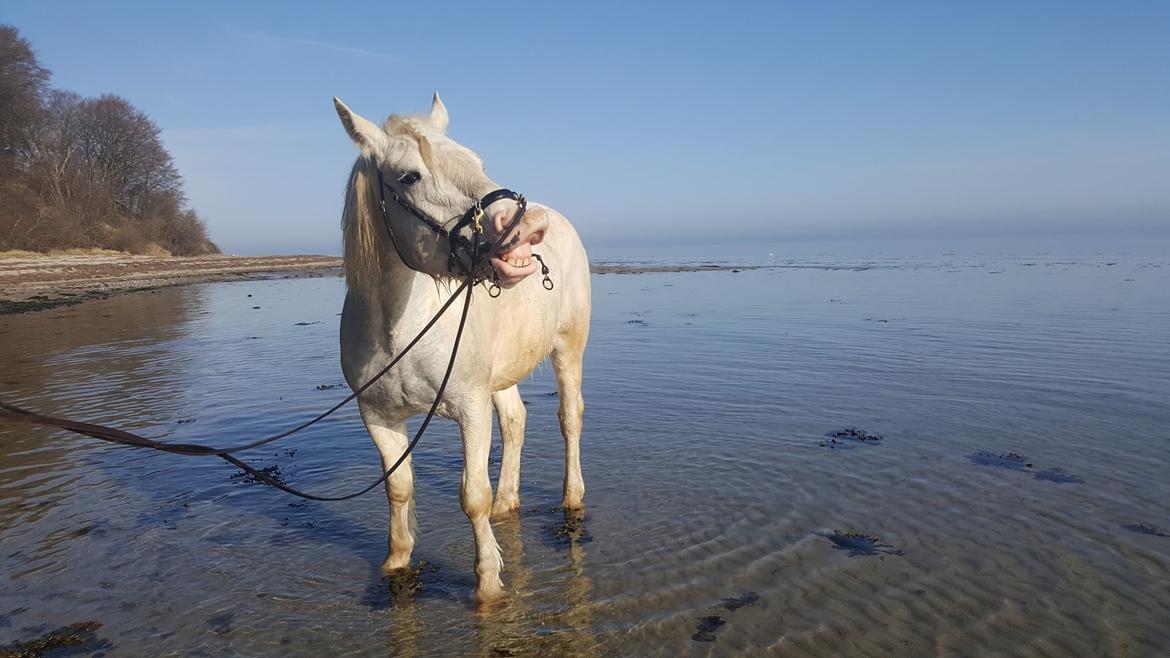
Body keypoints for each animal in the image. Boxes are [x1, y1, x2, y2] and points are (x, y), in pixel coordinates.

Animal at [332, 93, 589, 604]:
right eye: (409, 176)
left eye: (477, 161)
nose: (528, 226)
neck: (399, 330)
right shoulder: (378, 416)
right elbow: (399, 488)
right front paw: (396, 560)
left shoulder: (471, 407)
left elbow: (473, 496)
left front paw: (488, 583)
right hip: (502, 375)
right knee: (515, 421)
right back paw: (509, 500)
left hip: (569, 349)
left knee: (570, 419)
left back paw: (572, 498)